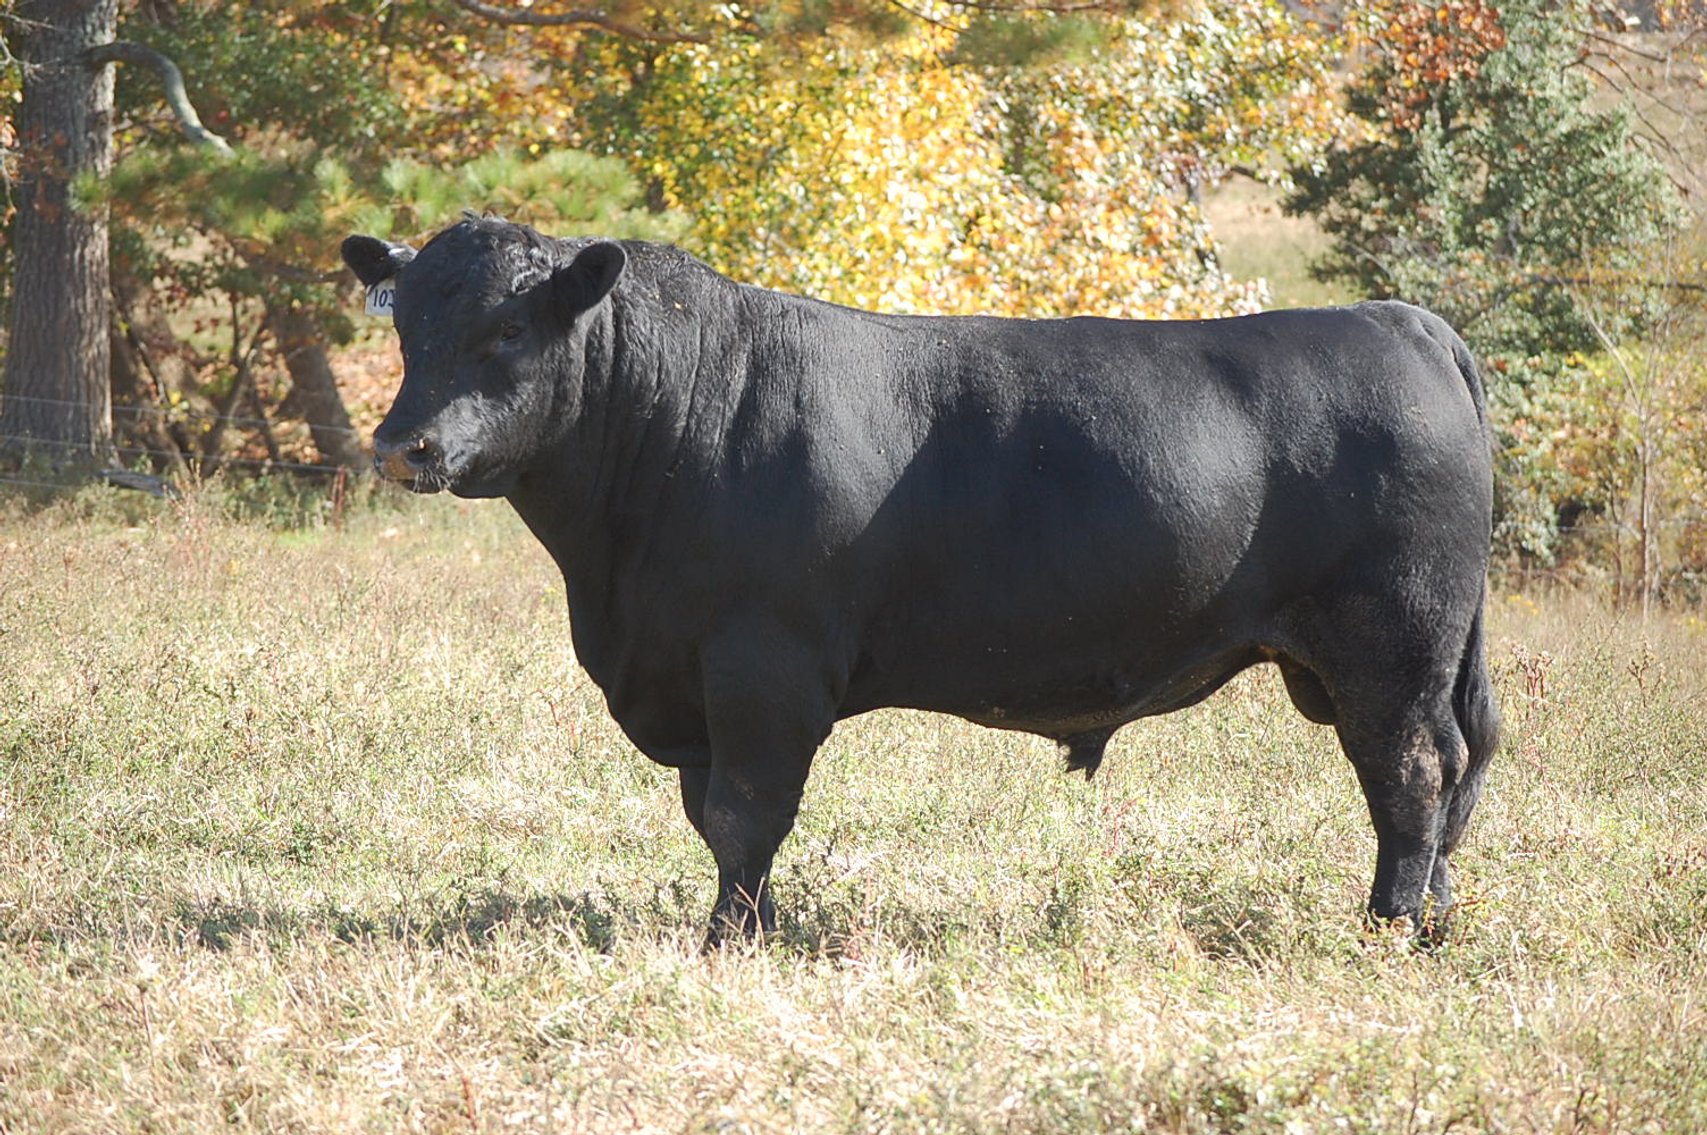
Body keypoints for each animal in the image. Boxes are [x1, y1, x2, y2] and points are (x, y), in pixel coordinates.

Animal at [342, 215, 1500, 946]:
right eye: (405, 325)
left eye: (507, 329)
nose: (403, 445)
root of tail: (1401, 320)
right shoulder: (688, 674)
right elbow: (710, 815)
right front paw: (752, 927)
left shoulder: (763, 667)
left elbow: (746, 815)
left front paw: (729, 942)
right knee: (1452, 772)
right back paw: (1435, 923)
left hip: (1392, 645)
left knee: (1410, 774)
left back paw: (1386, 930)